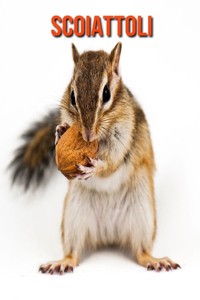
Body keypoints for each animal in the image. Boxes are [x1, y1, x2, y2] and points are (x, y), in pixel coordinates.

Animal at [9, 42, 180, 274]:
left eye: (106, 93)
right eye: (72, 95)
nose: (87, 134)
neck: (98, 140)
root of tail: (110, 234)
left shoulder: (124, 136)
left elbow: (113, 162)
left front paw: (95, 168)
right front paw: (60, 132)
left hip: (143, 214)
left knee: (141, 250)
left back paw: (155, 260)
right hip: (74, 217)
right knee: (73, 252)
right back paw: (62, 262)